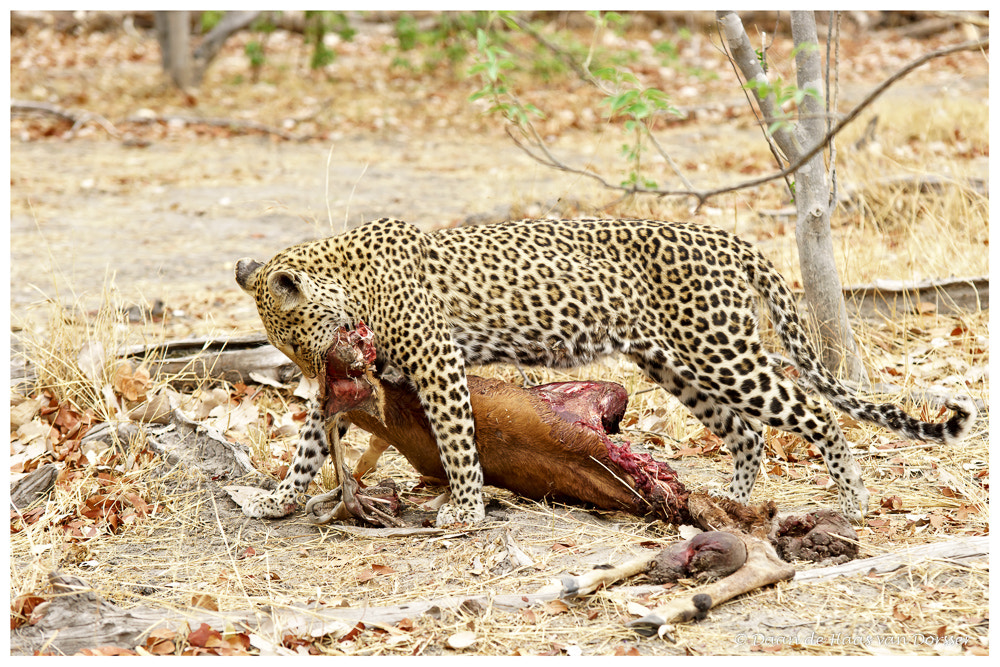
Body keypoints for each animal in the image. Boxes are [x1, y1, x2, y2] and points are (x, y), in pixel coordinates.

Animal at [236, 219, 976, 528]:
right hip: (677, 364)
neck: (349, 277)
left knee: (813, 411)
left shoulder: (438, 361)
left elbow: (457, 441)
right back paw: (732, 500)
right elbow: (309, 443)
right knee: (747, 431)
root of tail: (727, 239)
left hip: (722, 352)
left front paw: (466, 510)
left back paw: (852, 501)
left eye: (298, 340)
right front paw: (279, 499)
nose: (316, 373)